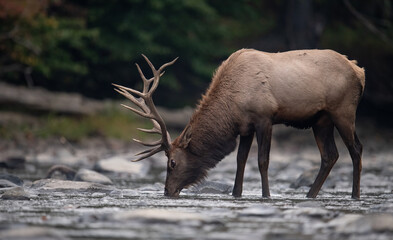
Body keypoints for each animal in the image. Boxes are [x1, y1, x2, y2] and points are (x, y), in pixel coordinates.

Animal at [113, 48, 364, 199]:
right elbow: (240, 160)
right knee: (330, 155)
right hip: (321, 120)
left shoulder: (264, 118)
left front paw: (266, 195)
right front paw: (236, 193)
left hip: (343, 111)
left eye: (172, 162)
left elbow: (262, 160)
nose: (167, 191)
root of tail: (359, 71)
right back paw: (310, 195)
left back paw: (355, 195)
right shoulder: (245, 127)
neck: (232, 106)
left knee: (356, 149)